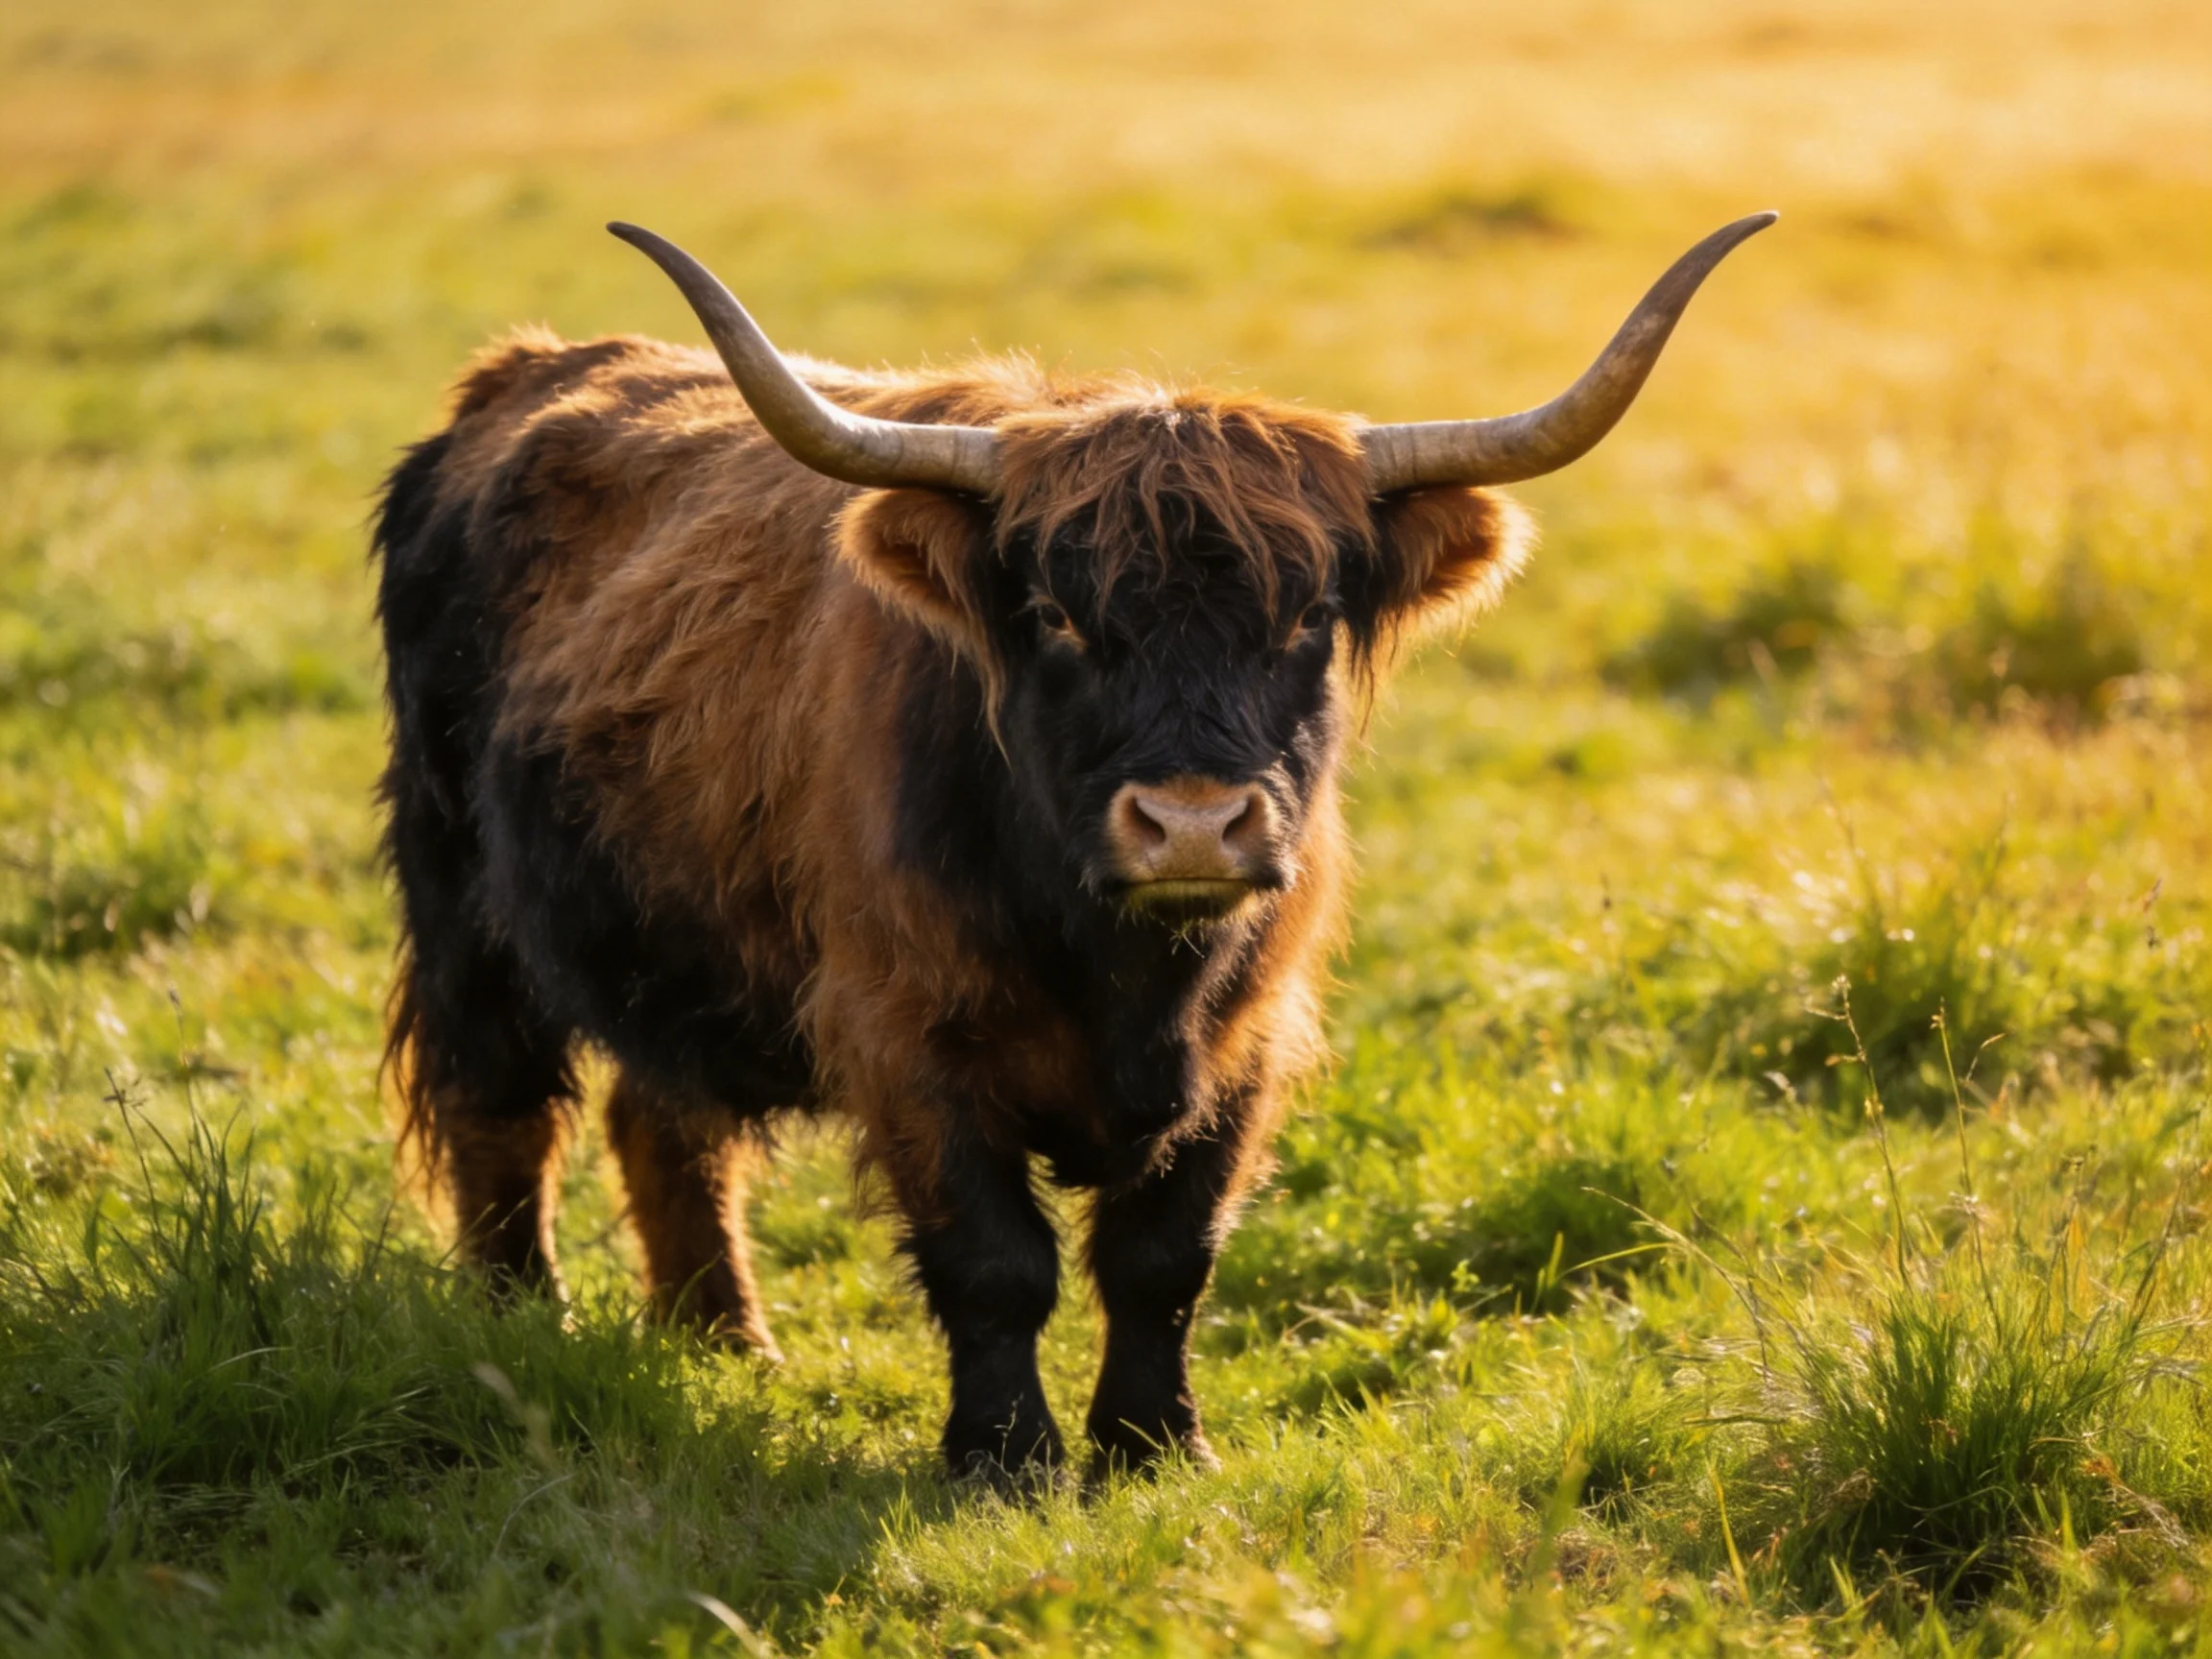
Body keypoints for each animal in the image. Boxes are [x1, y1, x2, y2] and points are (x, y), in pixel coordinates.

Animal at [373, 211, 1773, 1485]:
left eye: (1310, 615)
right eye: (1054, 615)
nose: (1195, 822)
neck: (1120, 972)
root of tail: (524, 373)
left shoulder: (1250, 1043)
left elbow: (1163, 1258)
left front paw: (1156, 1446)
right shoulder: (904, 1035)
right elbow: (997, 1263)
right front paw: (1005, 1458)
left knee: (665, 1116)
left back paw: (727, 1346)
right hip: (459, 890)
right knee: (502, 1110)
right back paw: (519, 1336)